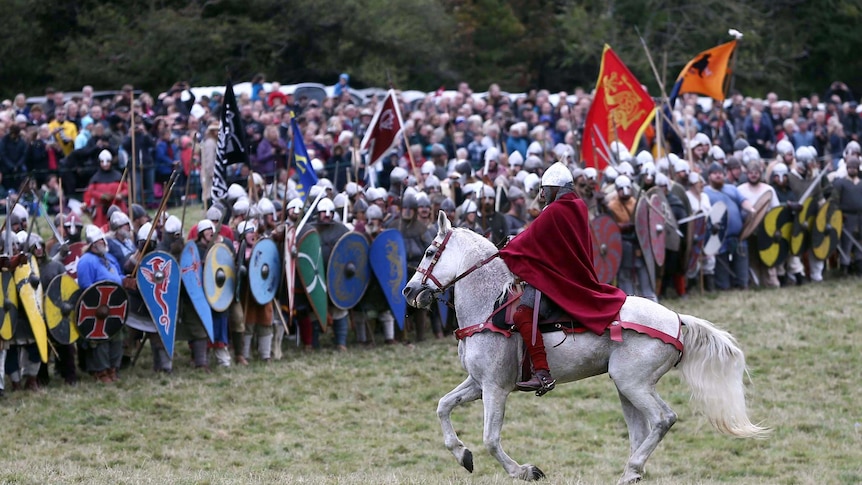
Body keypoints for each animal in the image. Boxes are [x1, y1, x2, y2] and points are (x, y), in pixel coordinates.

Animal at [404, 212, 768, 484]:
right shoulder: (478, 384)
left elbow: (491, 440)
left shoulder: (495, 388)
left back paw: (633, 467)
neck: (490, 306)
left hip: (632, 382)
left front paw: (525, 471)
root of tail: (676, 320)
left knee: (663, 418)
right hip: (626, 385)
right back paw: (631, 472)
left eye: (429, 252)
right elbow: (443, 406)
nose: (409, 292)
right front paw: (462, 454)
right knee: (641, 429)